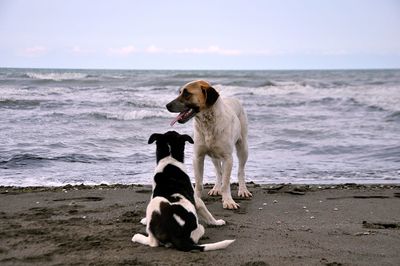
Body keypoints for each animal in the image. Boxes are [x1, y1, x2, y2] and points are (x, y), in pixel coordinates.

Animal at [167, 80, 252, 209]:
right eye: (180, 92)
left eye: (187, 94)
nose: (167, 105)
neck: (208, 123)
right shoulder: (197, 157)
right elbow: (199, 183)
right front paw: (196, 200)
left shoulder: (228, 158)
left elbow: (226, 183)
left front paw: (228, 201)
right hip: (214, 156)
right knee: (218, 171)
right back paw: (216, 188)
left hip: (243, 148)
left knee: (240, 170)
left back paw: (243, 190)